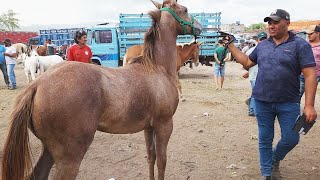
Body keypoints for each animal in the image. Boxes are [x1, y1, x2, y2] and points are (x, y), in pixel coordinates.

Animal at [1, 0, 202, 180]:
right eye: (185, 9)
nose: (200, 27)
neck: (156, 67)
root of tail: (37, 85)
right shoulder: (164, 125)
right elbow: (161, 162)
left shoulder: (149, 127)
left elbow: (151, 158)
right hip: (69, 158)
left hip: (48, 150)